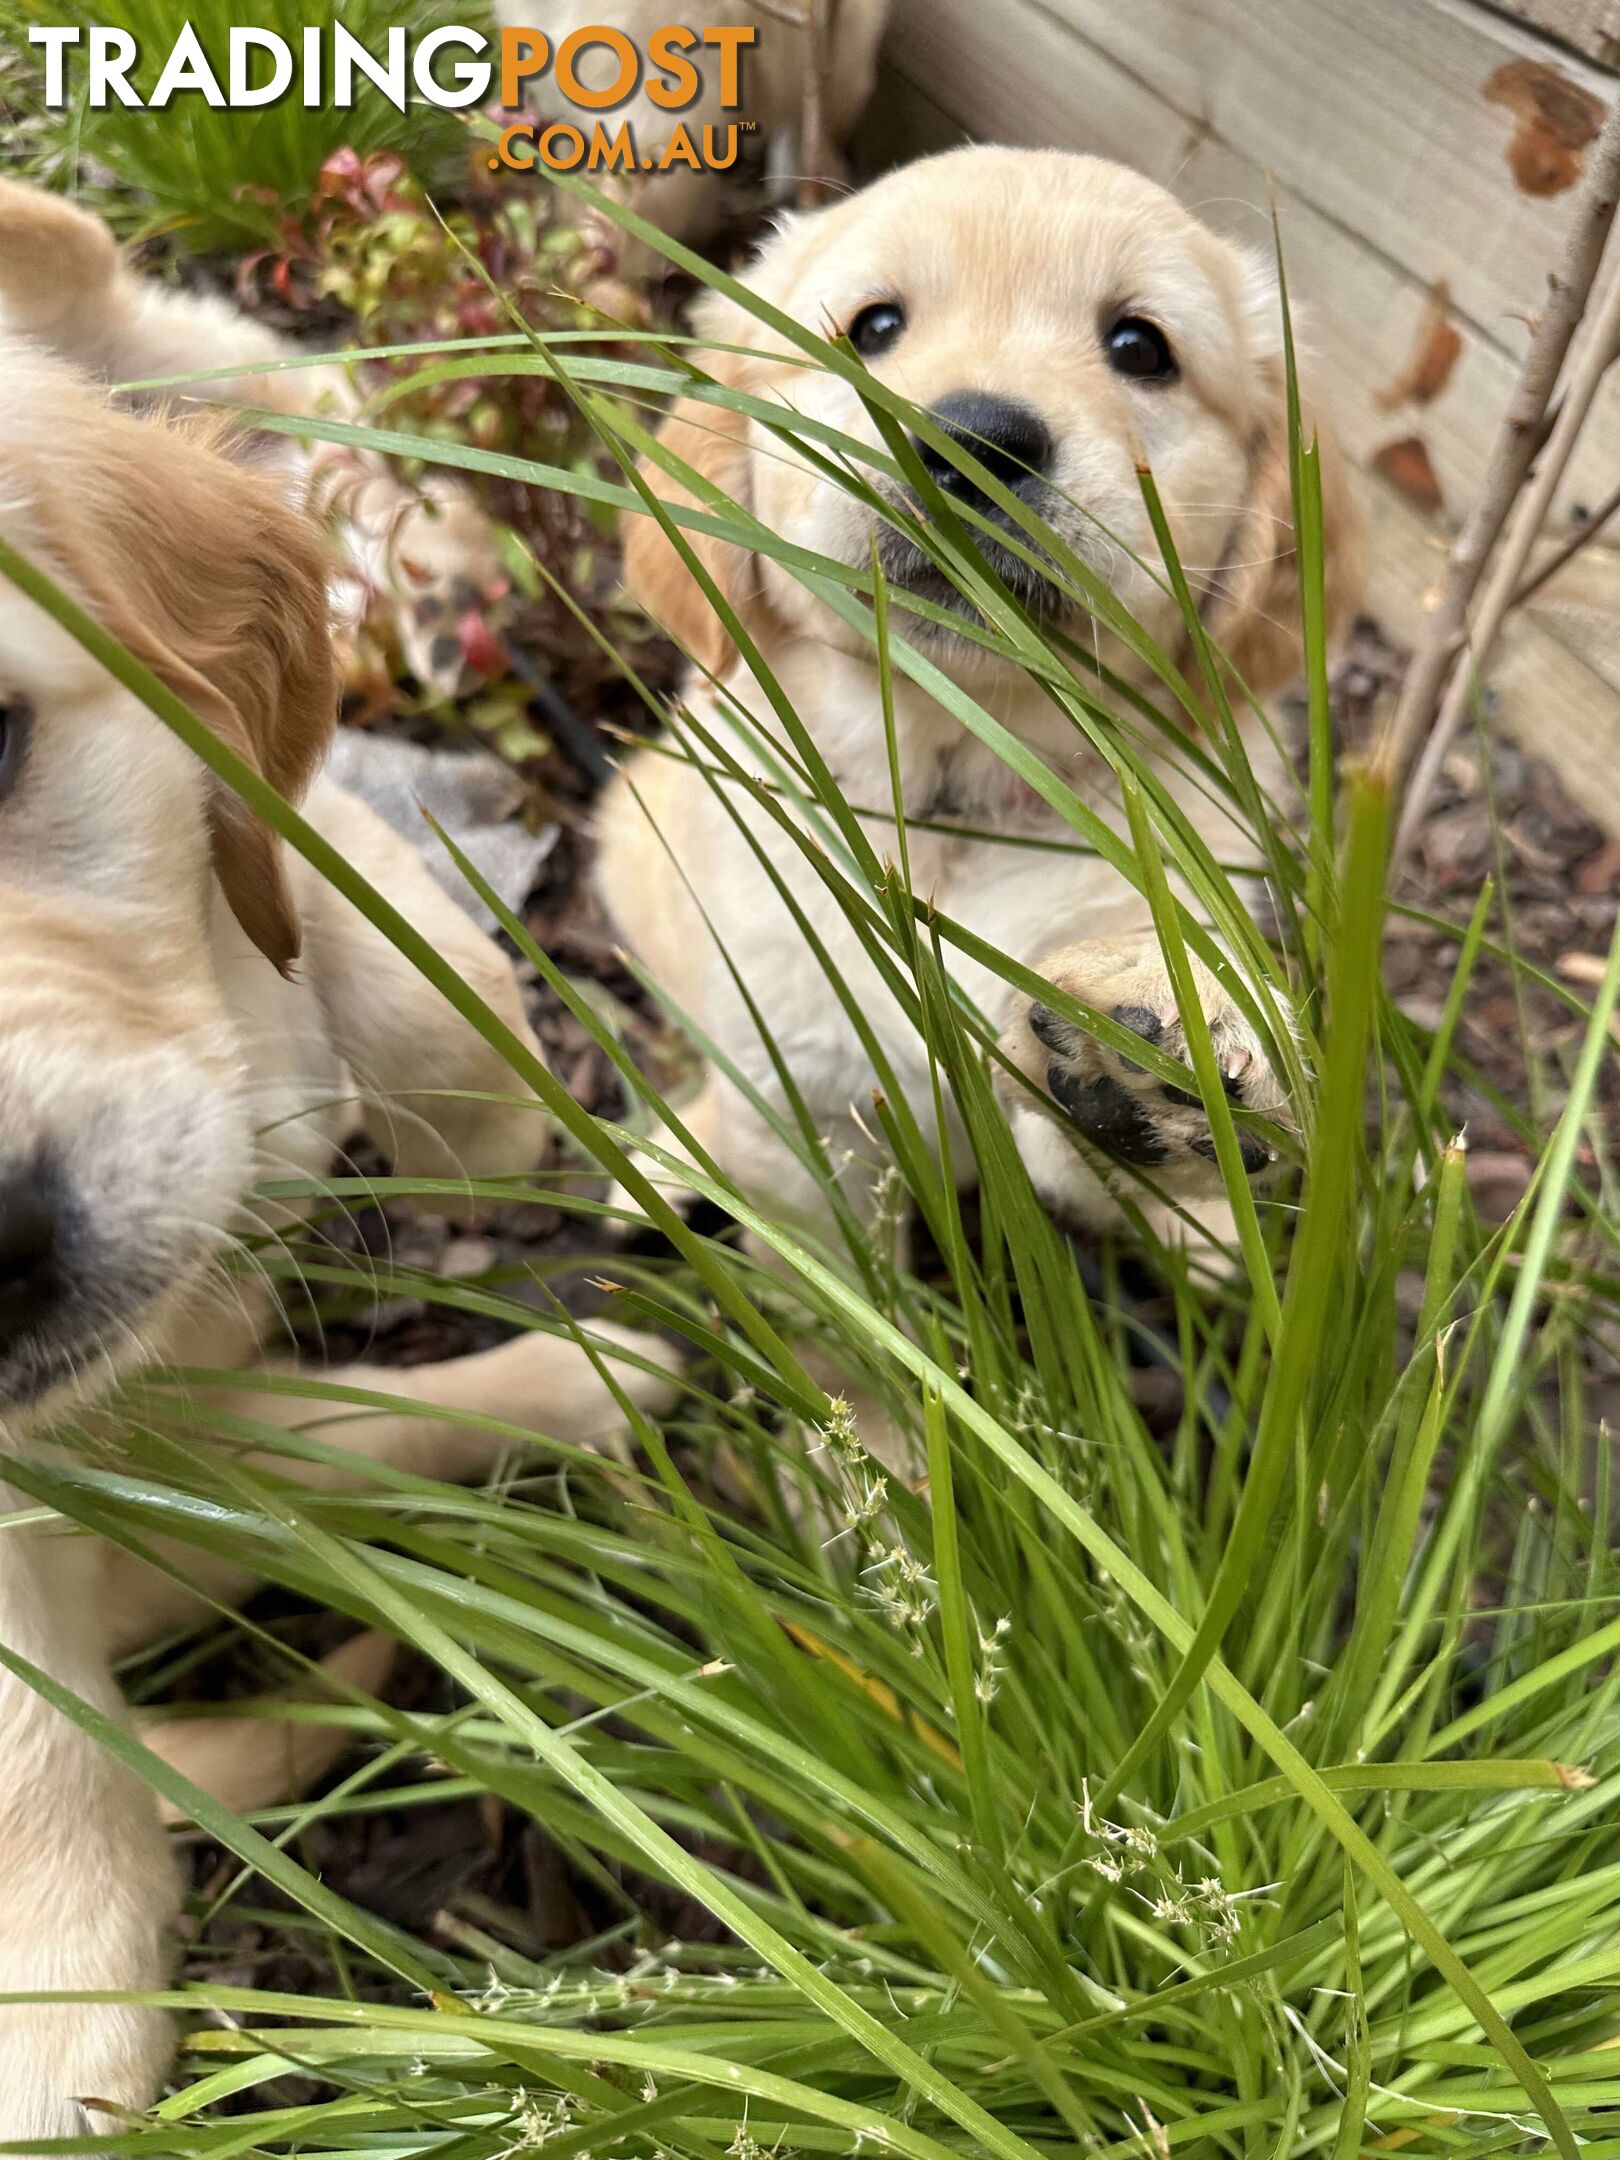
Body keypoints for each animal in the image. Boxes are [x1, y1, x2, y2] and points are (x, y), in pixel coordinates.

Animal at [596, 147, 1356, 1252]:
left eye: (1141, 347)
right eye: (874, 327)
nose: (974, 440)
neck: (956, 787)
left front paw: (1160, 1058)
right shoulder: (806, 1123)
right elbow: (835, 1283)